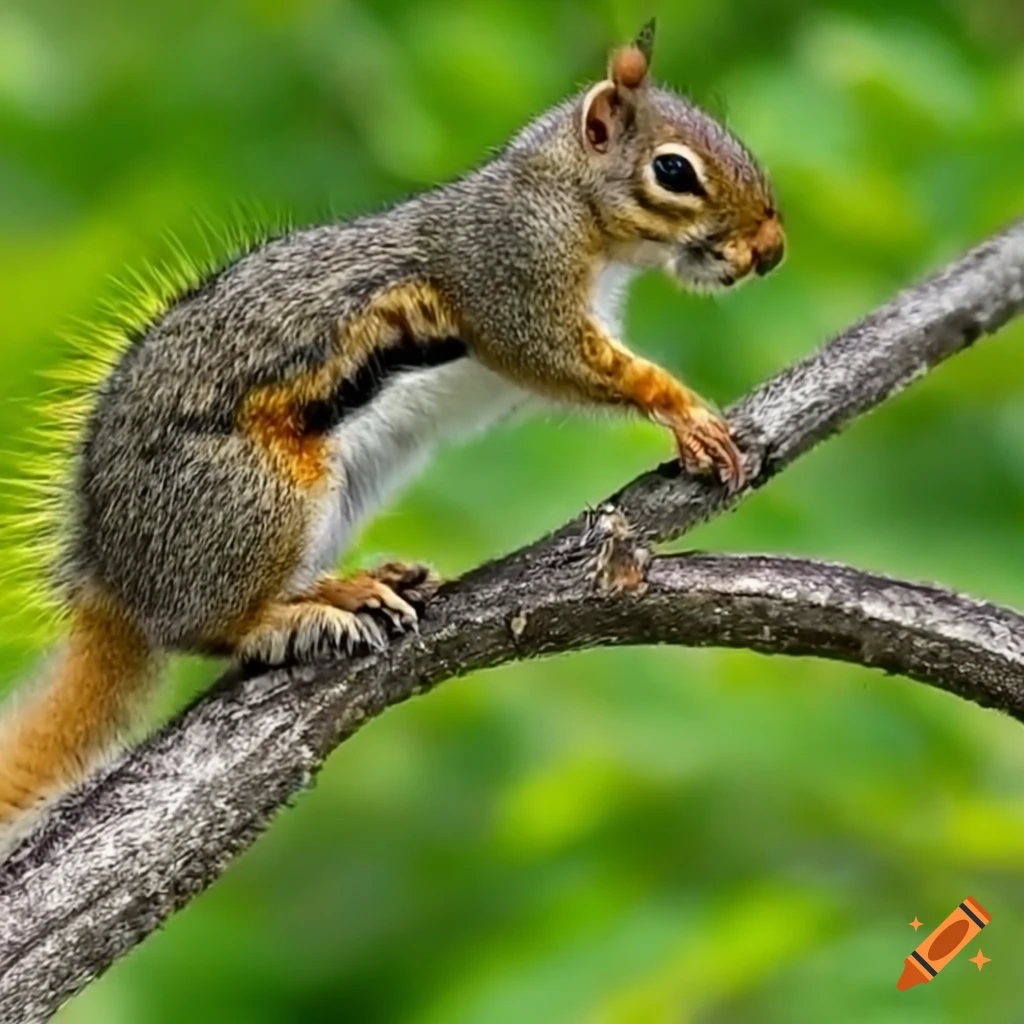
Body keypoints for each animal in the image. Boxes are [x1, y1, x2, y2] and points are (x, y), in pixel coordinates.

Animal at [0, 21, 783, 846]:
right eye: (674, 170)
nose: (770, 248)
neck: (567, 195)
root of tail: (114, 581)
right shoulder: (511, 276)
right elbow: (568, 359)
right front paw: (684, 411)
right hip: (260, 496)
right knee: (209, 627)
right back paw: (301, 611)